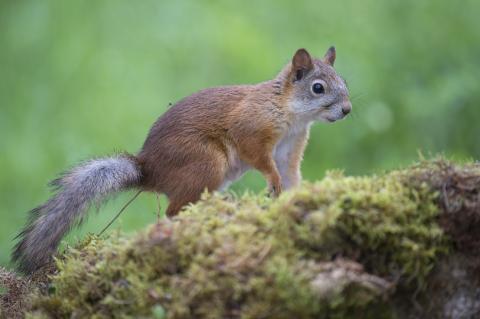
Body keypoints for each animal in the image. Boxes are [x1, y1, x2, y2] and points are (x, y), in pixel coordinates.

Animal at [12, 47, 352, 276]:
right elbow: (261, 159)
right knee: (173, 211)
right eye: (318, 87)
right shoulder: (251, 130)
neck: (289, 110)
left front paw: (297, 195)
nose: (347, 110)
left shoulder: (290, 147)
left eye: (343, 81)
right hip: (205, 162)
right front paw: (274, 182)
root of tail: (149, 171)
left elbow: (291, 173)